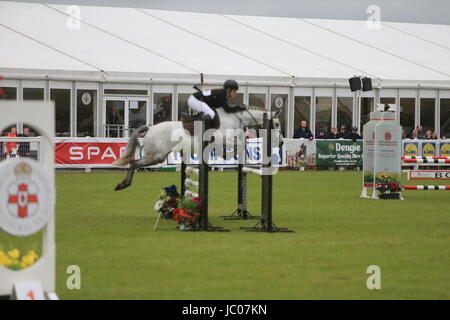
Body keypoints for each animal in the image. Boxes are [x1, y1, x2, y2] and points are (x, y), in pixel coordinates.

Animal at [113, 107, 282, 190]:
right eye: (277, 124)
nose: (280, 142)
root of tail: (151, 128)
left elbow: (237, 147)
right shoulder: (221, 143)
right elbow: (238, 147)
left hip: (156, 156)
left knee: (134, 163)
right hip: (156, 156)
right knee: (134, 163)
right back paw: (123, 184)